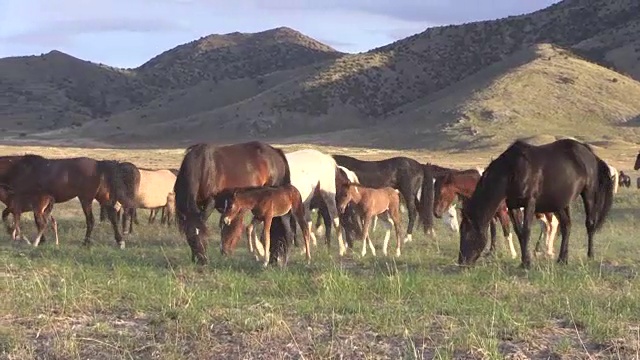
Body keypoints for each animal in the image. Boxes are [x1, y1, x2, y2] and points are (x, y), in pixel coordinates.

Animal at [0, 153, 131, 249]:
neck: (17, 170)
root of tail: (98, 164)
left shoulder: (21, 203)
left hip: (86, 199)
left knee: (90, 220)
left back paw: (85, 242)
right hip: (102, 197)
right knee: (112, 216)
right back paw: (120, 241)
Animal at [460, 139, 616, 268]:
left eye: (467, 234)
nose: (461, 262)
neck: (511, 170)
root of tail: (590, 153)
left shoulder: (529, 203)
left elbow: (526, 231)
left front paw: (527, 263)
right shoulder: (512, 206)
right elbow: (519, 232)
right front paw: (524, 261)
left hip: (588, 194)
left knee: (590, 223)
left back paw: (590, 255)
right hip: (560, 202)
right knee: (566, 226)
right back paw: (562, 259)